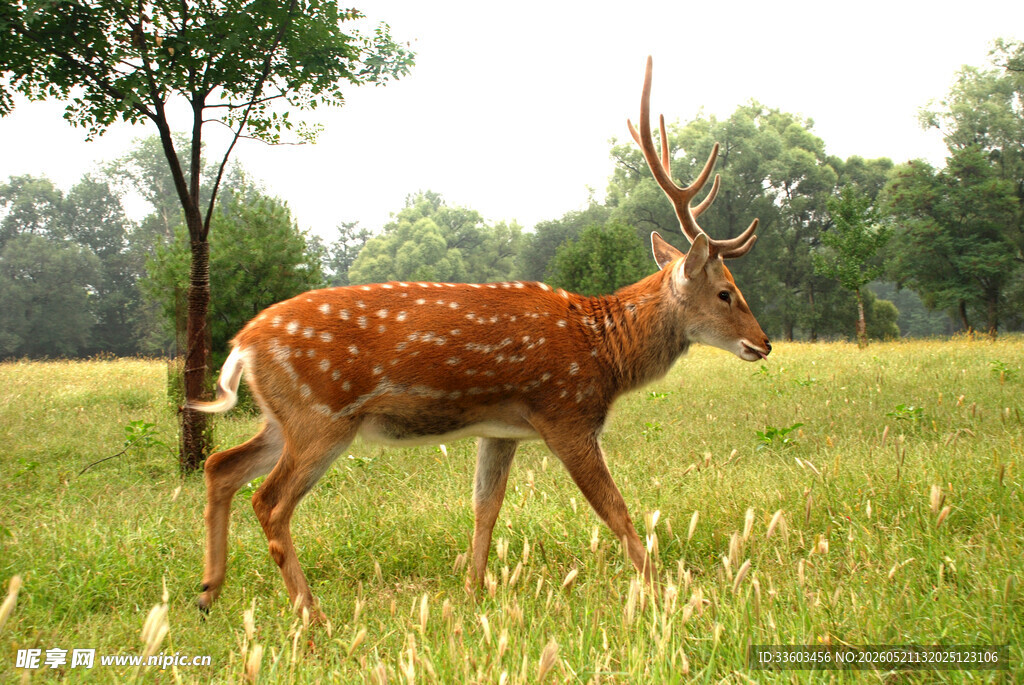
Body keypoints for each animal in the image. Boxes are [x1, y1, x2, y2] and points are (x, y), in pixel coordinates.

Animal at [190, 56, 771, 618]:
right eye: (726, 292)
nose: (763, 343)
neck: (603, 351)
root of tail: (242, 345)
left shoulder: (501, 428)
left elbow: (485, 507)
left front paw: (472, 593)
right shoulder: (567, 413)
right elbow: (616, 510)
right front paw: (670, 593)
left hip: (282, 417)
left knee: (220, 466)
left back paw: (207, 592)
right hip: (321, 415)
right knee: (269, 501)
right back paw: (310, 615)